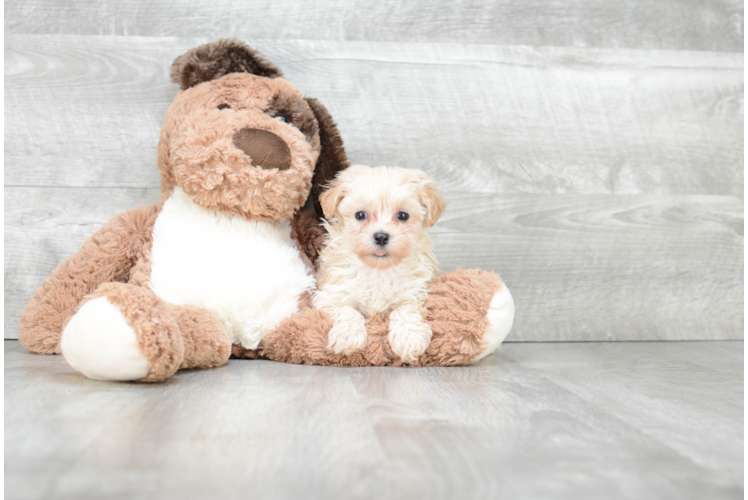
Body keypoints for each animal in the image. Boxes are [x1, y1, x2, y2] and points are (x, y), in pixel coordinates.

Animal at [312, 164, 448, 364]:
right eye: (360, 215)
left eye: (403, 215)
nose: (381, 236)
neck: (378, 269)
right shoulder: (331, 295)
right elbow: (347, 310)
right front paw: (348, 336)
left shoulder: (415, 293)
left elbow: (405, 311)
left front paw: (409, 338)